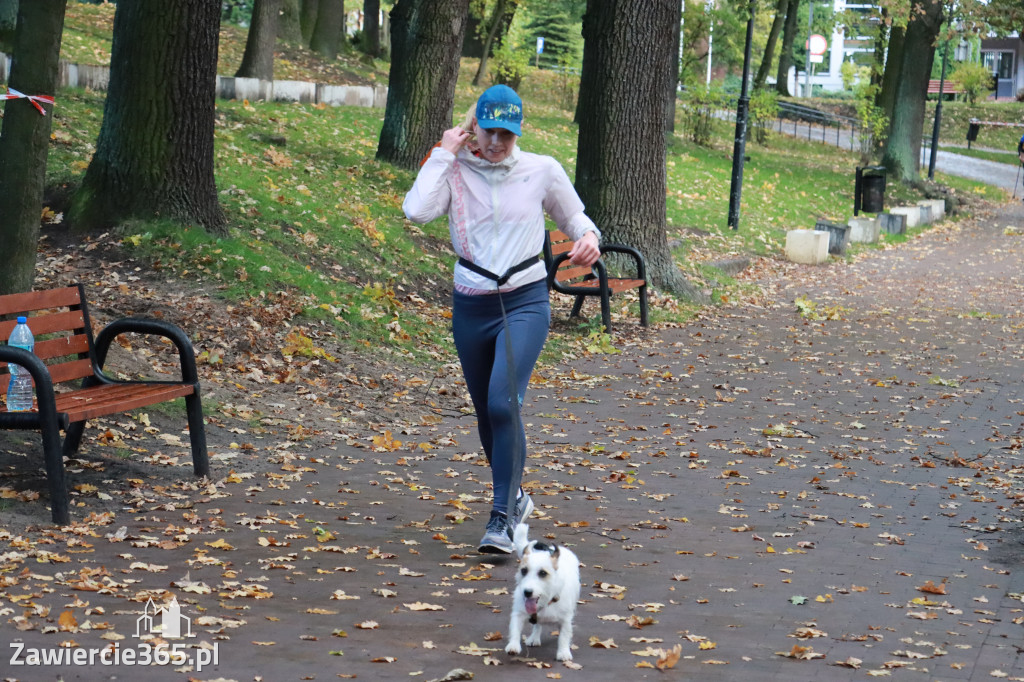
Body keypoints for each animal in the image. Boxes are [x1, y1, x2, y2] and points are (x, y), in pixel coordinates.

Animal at [505, 520, 581, 659]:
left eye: (543, 573)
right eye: (524, 571)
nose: (527, 592)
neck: (546, 600)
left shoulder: (566, 619)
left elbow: (564, 636)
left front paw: (563, 652)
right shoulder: (518, 613)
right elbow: (515, 630)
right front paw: (513, 645)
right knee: (537, 625)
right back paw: (534, 638)